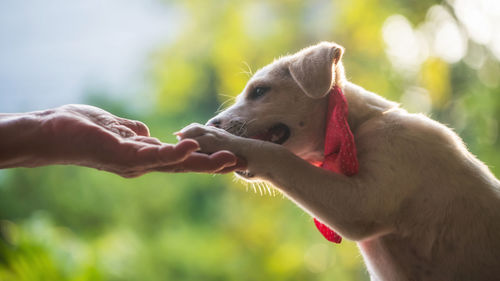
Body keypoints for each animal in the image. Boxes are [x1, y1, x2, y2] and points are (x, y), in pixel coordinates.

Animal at [179, 41, 500, 280]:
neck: (357, 127)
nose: (213, 123)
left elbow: (278, 156)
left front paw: (215, 138)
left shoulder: (360, 205)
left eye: (260, 91)